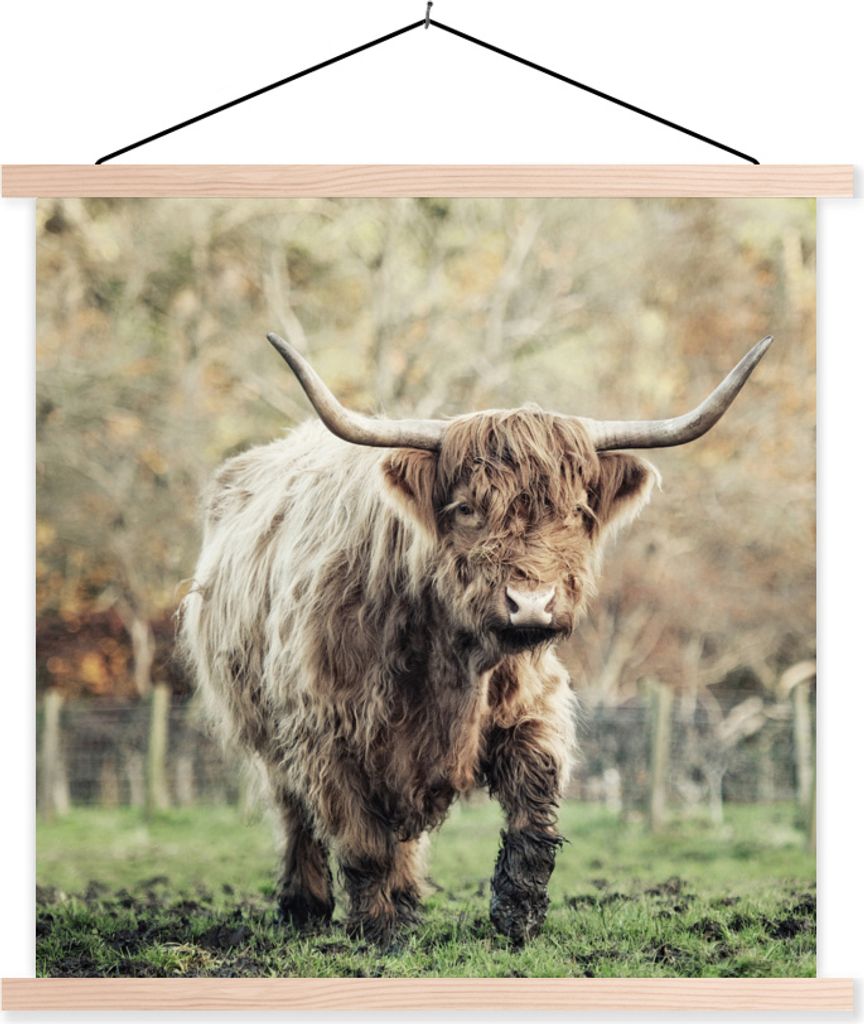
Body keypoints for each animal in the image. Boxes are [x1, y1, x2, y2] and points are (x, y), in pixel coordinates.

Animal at [179, 332, 772, 946]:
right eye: (466, 508)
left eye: (577, 510)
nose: (531, 602)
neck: (448, 657)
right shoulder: (327, 729)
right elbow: (361, 840)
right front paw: (381, 930)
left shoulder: (532, 704)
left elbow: (534, 807)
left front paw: (517, 916)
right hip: (265, 729)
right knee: (295, 813)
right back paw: (307, 908)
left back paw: (406, 898)